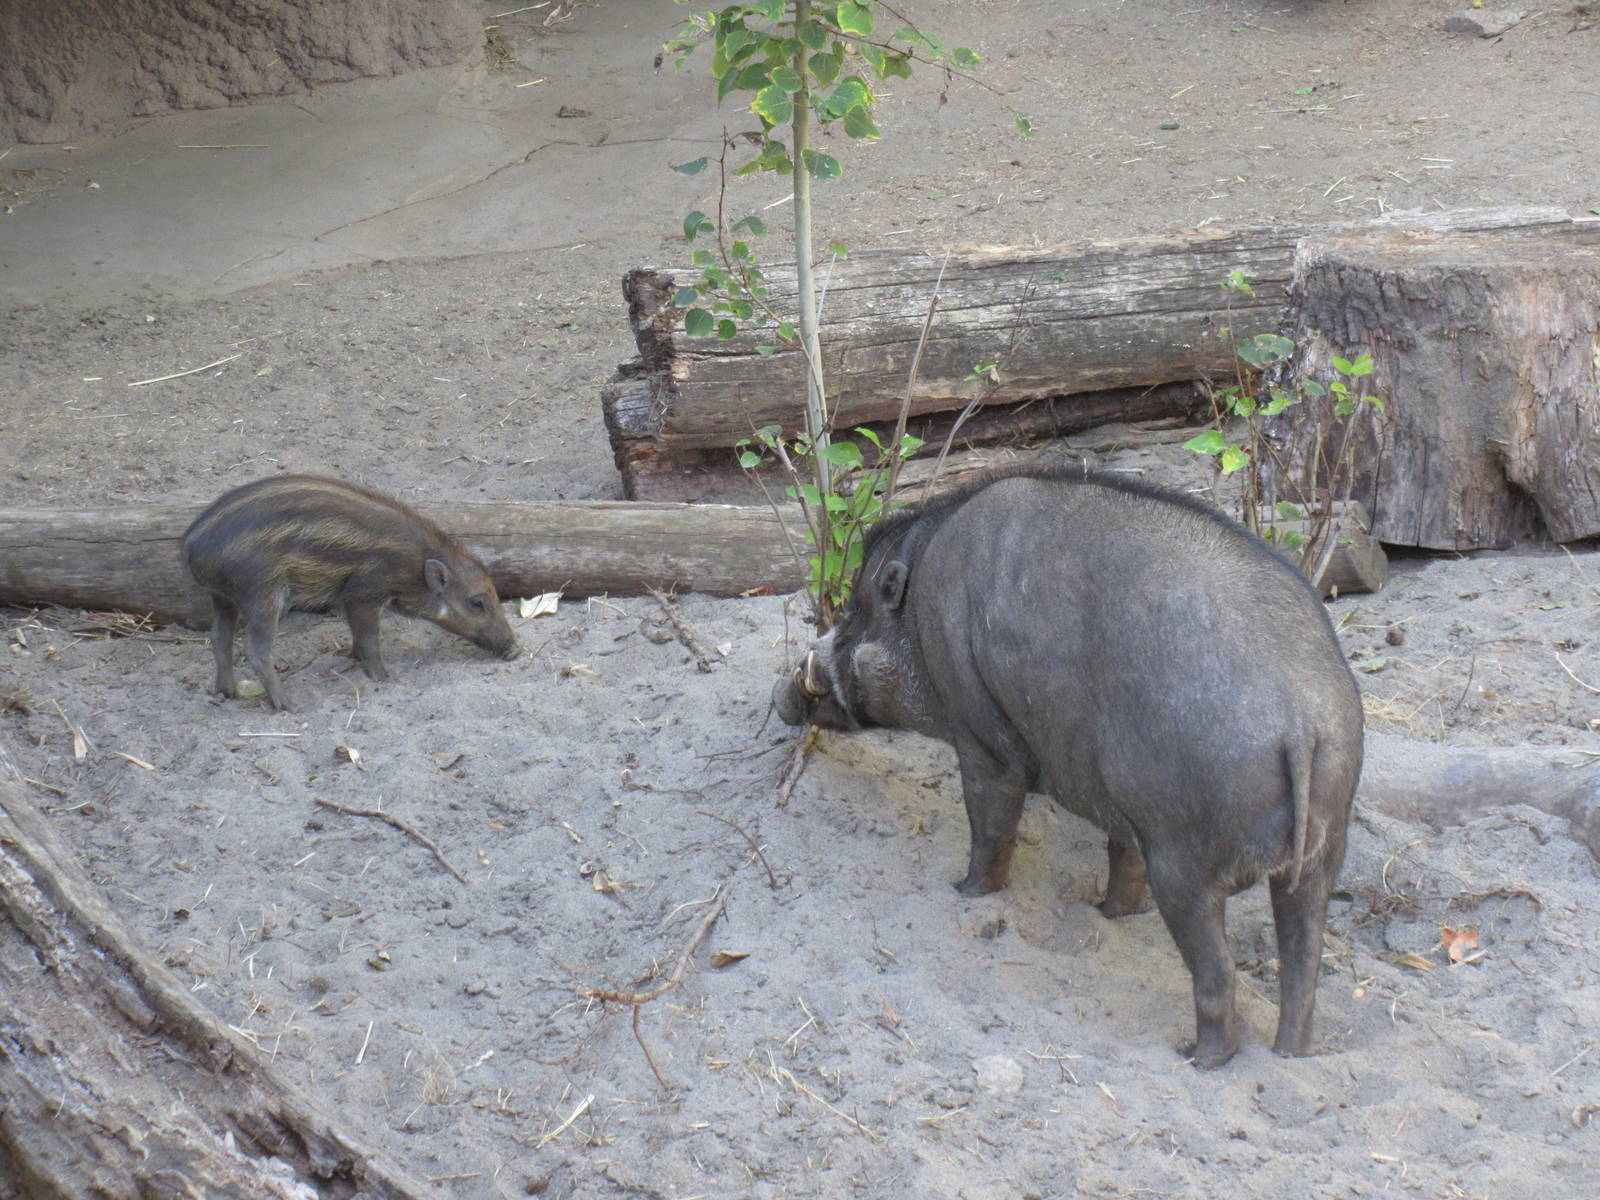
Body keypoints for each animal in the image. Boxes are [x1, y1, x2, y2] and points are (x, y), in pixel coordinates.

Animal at [182, 475, 519, 710]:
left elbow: (358, 635)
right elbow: (369, 637)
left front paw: (352, 659)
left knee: (219, 638)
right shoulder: (364, 592)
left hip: (223, 598)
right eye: (477, 602)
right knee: (255, 648)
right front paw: (384, 678)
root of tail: (191, 544)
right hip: (263, 594)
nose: (515, 650)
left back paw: (229, 693)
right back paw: (289, 704)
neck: (413, 564)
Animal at [773, 467, 1363, 1069]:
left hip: (1186, 866)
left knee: (1217, 975)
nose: (782, 693)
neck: (918, 613)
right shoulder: (1125, 813)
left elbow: (991, 827)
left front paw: (965, 892)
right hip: (1323, 851)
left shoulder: (983, 740)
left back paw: (1198, 1059)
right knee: (1304, 962)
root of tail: (1300, 723)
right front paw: (1107, 913)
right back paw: (1290, 1054)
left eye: (856, 610)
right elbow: (1122, 860)